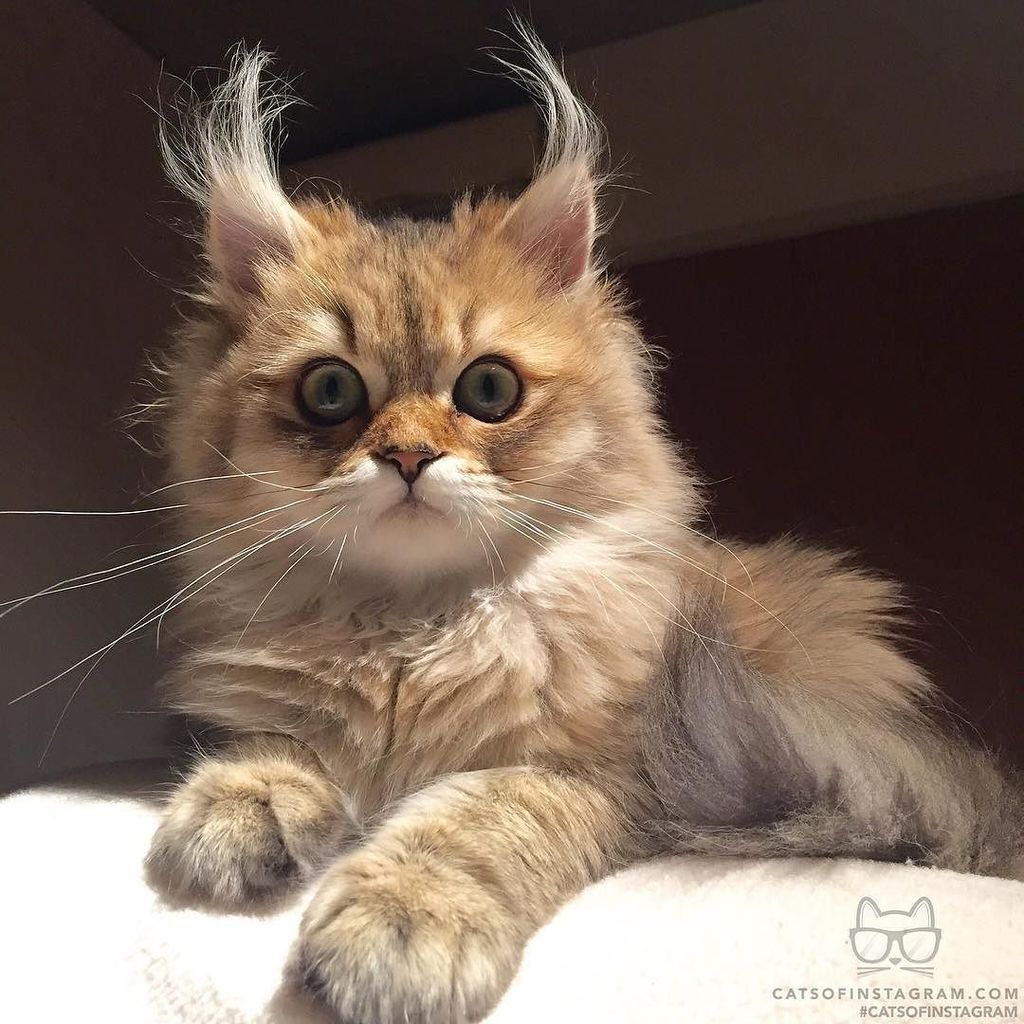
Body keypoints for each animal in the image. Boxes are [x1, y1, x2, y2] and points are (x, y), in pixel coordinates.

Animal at [141, 27, 1024, 1024]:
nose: (407, 457)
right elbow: (272, 742)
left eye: (488, 390)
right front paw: (237, 809)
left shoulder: (602, 774)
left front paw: (402, 924)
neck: (416, 633)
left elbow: (476, 821)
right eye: (330, 391)